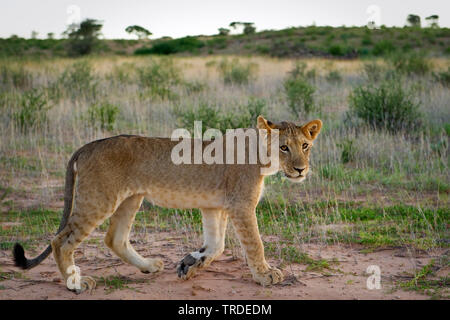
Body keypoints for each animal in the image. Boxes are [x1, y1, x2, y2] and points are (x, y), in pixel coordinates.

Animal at [12, 116, 322, 294]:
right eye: (284, 147)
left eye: (305, 146)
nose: (300, 170)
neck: (260, 154)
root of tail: (88, 145)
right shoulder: (241, 205)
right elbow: (254, 243)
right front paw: (265, 275)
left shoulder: (214, 207)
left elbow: (217, 245)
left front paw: (190, 265)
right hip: (99, 199)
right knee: (61, 241)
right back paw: (76, 283)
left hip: (130, 199)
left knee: (115, 239)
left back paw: (149, 266)